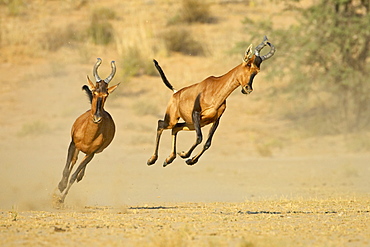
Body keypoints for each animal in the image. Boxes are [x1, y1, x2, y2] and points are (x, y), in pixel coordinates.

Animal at [58, 58, 120, 203]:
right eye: (94, 92)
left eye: (106, 94)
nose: (97, 118)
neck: (89, 136)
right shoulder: (72, 144)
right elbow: (66, 171)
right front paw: (60, 186)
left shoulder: (91, 153)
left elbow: (73, 176)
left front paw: (60, 200)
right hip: (77, 148)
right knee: (73, 161)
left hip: (92, 153)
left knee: (79, 170)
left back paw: (81, 176)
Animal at [147, 35, 274, 167]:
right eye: (248, 64)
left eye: (257, 70)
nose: (247, 89)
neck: (214, 89)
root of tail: (176, 93)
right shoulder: (196, 113)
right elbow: (199, 138)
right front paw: (185, 155)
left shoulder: (215, 120)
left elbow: (207, 143)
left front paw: (190, 159)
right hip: (173, 119)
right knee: (161, 124)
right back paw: (152, 159)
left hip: (192, 124)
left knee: (175, 128)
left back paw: (169, 159)